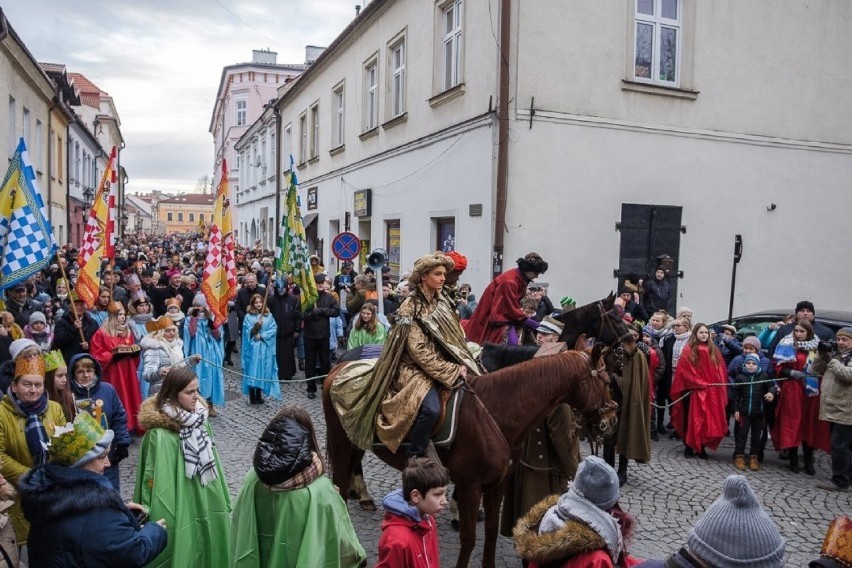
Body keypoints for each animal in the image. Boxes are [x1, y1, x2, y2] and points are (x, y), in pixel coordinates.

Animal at [322, 342, 616, 568]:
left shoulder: (498, 484)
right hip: (341, 444)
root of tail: (336, 369)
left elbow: (491, 532)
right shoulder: (470, 486)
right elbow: (469, 537)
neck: (497, 410)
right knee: (339, 489)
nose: (611, 421)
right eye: (605, 381)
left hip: (356, 443)